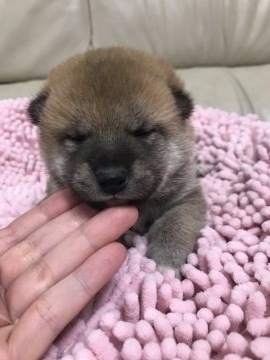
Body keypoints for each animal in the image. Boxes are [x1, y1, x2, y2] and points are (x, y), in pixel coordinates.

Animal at [27, 47, 206, 272]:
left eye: (143, 131)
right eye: (77, 137)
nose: (111, 179)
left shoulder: (186, 197)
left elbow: (176, 223)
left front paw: (164, 262)